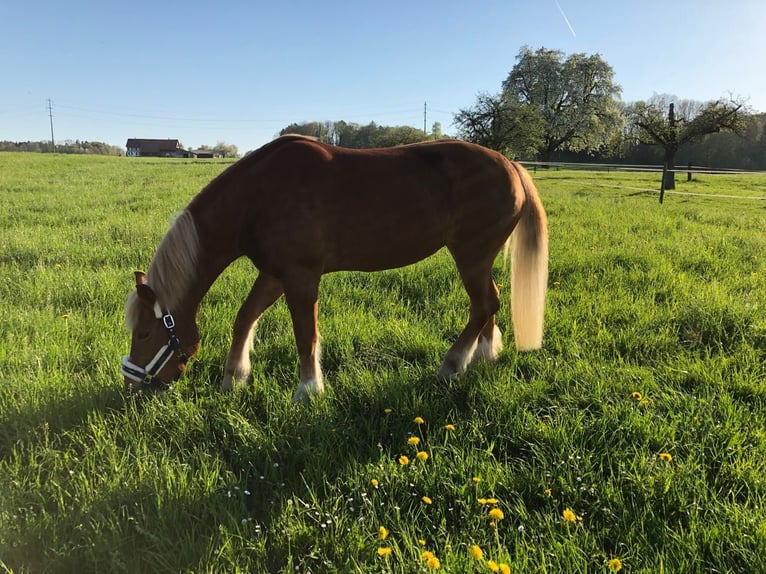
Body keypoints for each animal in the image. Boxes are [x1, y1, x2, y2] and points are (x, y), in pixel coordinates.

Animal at [120, 137, 548, 402]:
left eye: (144, 333)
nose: (131, 383)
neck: (258, 195)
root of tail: (512, 165)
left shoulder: (301, 277)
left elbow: (305, 335)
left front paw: (308, 390)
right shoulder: (274, 275)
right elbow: (244, 319)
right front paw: (234, 378)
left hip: (470, 256)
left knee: (483, 305)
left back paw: (452, 364)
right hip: (480, 259)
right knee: (489, 304)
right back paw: (484, 355)